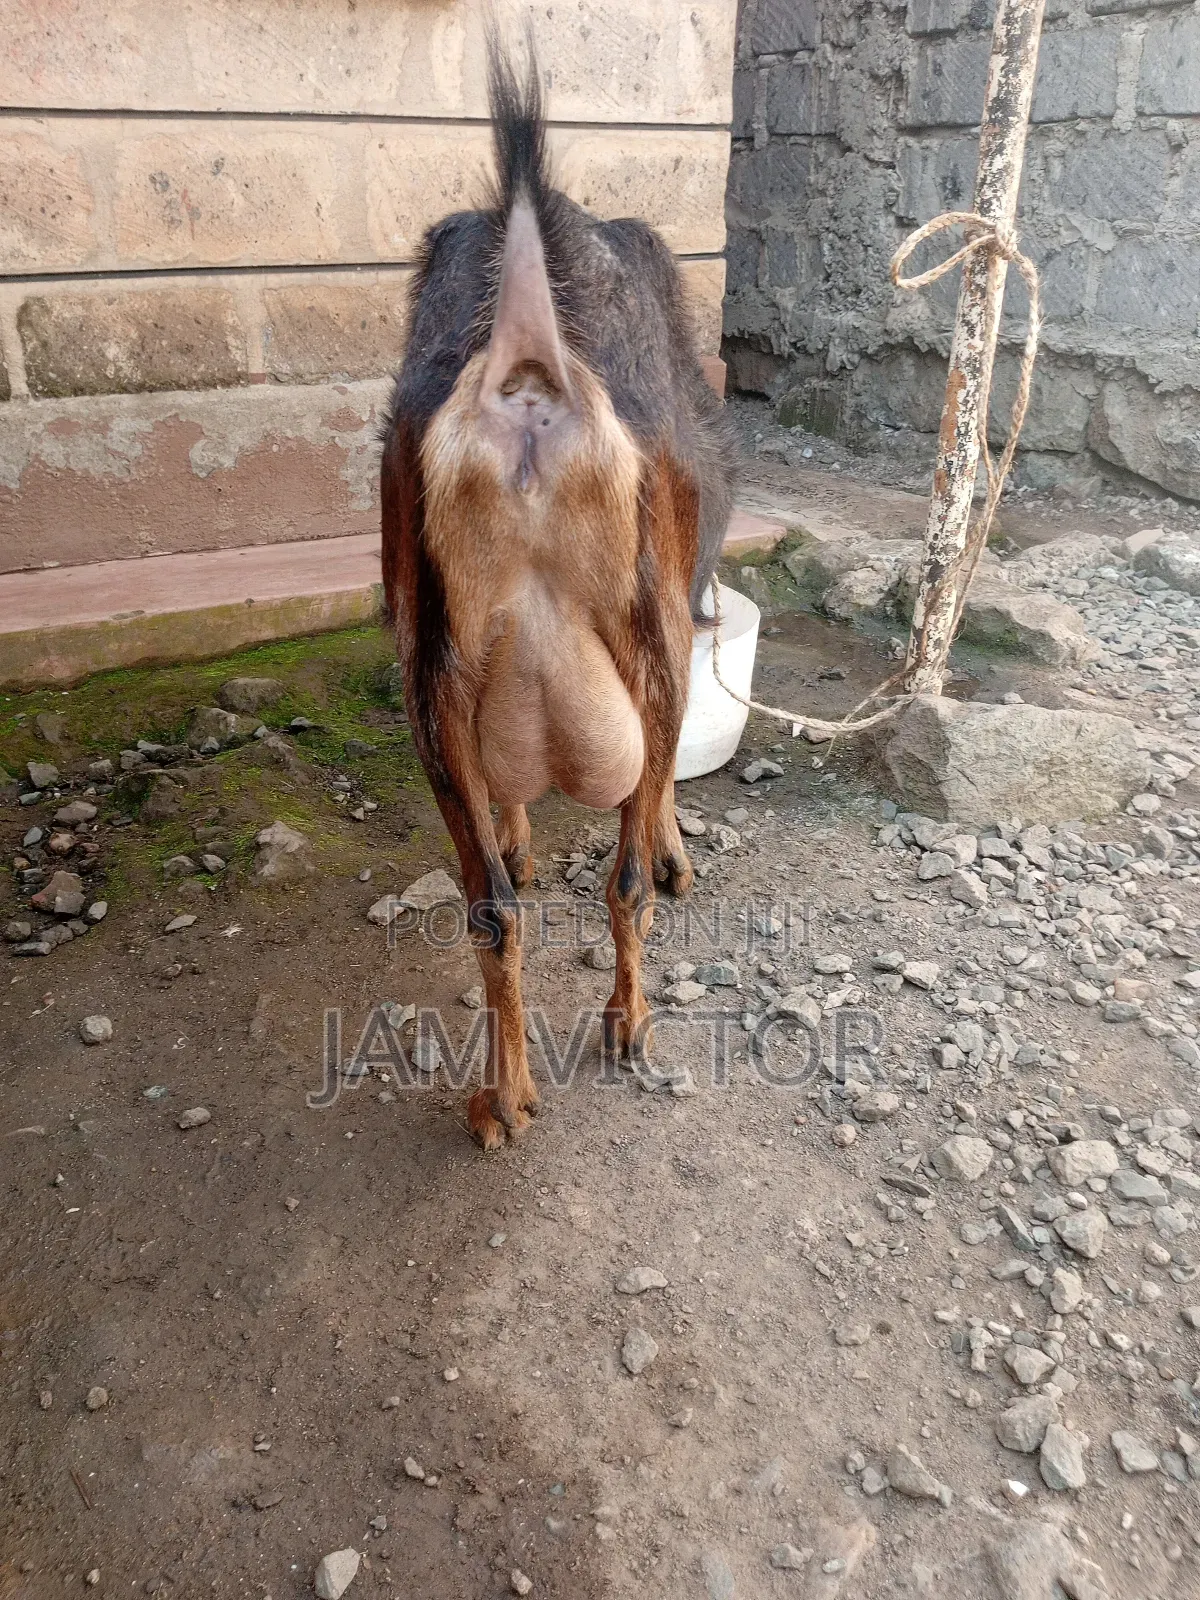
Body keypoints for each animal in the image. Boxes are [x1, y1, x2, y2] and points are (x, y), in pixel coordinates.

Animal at [380, 36, 738, 1149]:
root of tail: (530, 369)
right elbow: (655, 790)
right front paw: (672, 850)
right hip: (649, 628)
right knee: (621, 879)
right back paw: (630, 1023)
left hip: (429, 663)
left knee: (492, 908)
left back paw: (506, 1098)